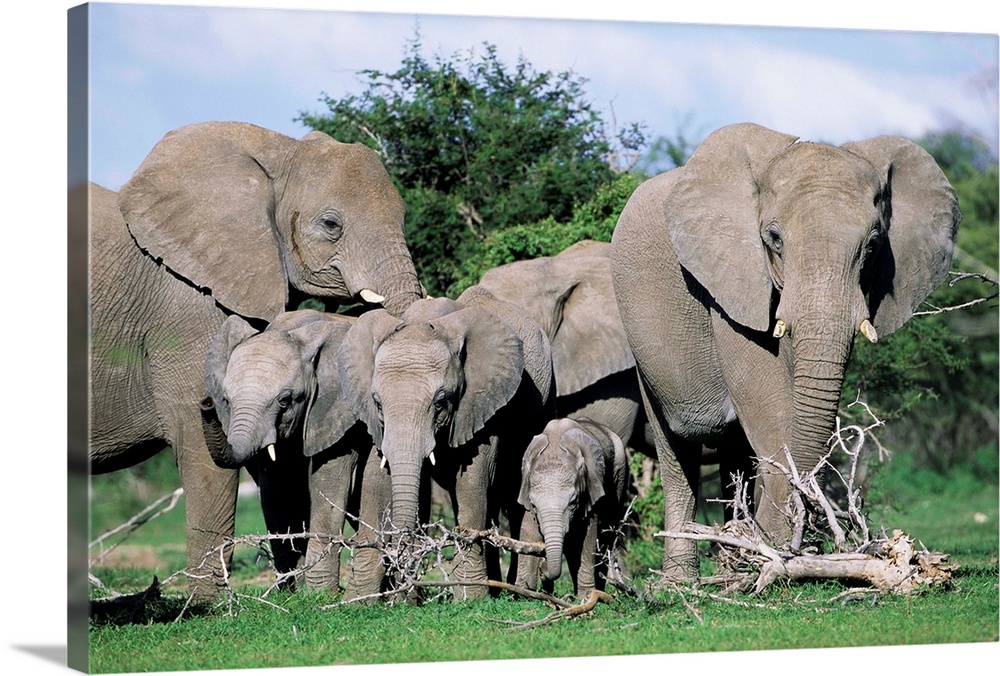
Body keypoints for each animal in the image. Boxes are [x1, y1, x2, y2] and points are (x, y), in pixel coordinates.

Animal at [88, 120, 424, 596]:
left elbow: (275, 457)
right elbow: (203, 445)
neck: (278, 150)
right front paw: (207, 604)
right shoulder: (187, 307)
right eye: (331, 224)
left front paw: (295, 593)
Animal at [336, 288, 556, 600]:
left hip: (543, 405)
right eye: (377, 403)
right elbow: (375, 479)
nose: (404, 591)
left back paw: (519, 592)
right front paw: (359, 599)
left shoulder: (481, 399)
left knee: (516, 495)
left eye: (440, 402)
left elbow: (473, 479)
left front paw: (469, 598)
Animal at [520, 418, 628, 596]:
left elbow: (588, 536)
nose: (542, 570)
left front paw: (586, 596)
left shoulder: (591, 487)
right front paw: (521, 593)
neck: (555, 446)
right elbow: (528, 530)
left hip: (620, 472)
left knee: (606, 535)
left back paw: (596, 592)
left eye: (573, 502)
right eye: (534, 505)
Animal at [608, 123, 960, 580]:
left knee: (735, 451)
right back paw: (684, 580)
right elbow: (771, 406)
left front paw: (779, 550)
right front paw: (779, 550)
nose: (805, 535)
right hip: (640, 340)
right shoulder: (732, 278)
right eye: (773, 239)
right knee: (676, 448)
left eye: (873, 245)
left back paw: (734, 551)